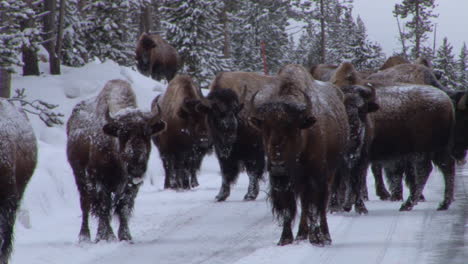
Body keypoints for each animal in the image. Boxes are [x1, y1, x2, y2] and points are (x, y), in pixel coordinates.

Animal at [66, 79, 165, 242]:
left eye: (147, 133)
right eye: (123, 134)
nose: (136, 168)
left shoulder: (130, 185)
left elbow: (123, 207)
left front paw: (125, 236)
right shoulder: (100, 181)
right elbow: (104, 206)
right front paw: (104, 237)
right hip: (80, 177)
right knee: (86, 205)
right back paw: (84, 237)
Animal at [250, 65, 350, 246]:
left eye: (293, 128)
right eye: (265, 129)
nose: (278, 166)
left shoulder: (315, 177)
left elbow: (314, 207)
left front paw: (317, 238)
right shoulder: (284, 182)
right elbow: (289, 208)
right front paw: (285, 239)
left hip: (329, 174)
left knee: (320, 204)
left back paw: (324, 236)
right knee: (304, 203)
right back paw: (302, 234)